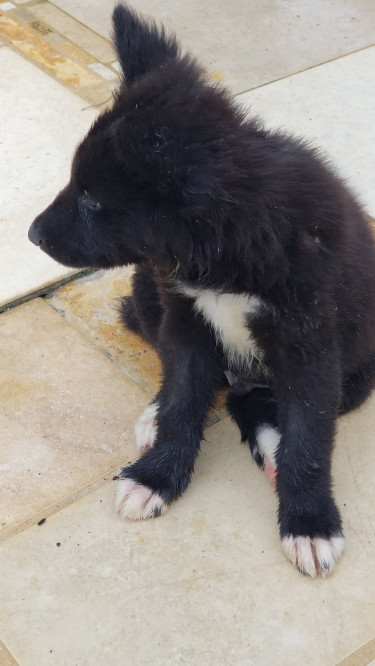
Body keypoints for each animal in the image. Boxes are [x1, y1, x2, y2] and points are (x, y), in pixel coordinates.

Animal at [27, 1, 375, 576]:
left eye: (93, 200)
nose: (31, 235)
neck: (228, 250)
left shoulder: (311, 349)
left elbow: (307, 439)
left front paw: (310, 523)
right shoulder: (186, 322)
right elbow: (182, 399)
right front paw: (156, 476)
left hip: (357, 371)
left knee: (255, 402)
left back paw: (269, 445)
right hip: (147, 293)